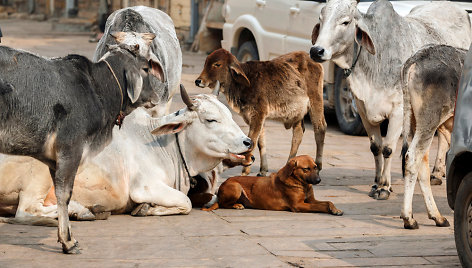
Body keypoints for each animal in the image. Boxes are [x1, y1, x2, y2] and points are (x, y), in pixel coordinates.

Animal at [0, 44, 159, 253]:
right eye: (146, 68)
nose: (157, 96)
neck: (98, 89)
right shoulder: (71, 149)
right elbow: (64, 195)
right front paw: (68, 241)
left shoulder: (53, 160)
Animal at [0, 88, 253, 224]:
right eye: (211, 120)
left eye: (229, 115)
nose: (248, 143)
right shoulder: (144, 187)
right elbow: (186, 202)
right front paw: (147, 209)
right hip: (41, 171)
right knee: (25, 211)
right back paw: (81, 211)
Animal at [195, 49, 324, 177]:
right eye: (206, 63)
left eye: (217, 64)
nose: (198, 81)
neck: (245, 84)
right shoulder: (258, 117)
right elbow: (261, 143)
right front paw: (263, 170)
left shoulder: (258, 115)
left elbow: (252, 140)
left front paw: (245, 170)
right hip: (298, 113)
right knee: (298, 133)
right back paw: (290, 164)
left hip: (316, 101)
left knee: (320, 129)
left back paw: (318, 165)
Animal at [203, 155, 342, 216]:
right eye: (306, 169)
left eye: (315, 167)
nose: (318, 180)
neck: (301, 183)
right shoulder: (298, 205)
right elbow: (319, 206)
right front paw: (330, 210)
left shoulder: (311, 199)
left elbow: (327, 202)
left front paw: (335, 209)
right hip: (236, 187)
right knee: (223, 204)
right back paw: (237, 205)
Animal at [310, 0, 472, 201]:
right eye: (320, 18)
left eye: (345, 22)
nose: (316, 50)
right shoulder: (363, 110)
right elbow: (375, 147)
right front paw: (376, 183)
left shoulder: (398, 112)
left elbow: (388, 148)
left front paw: (384, 187)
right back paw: (435, 173)